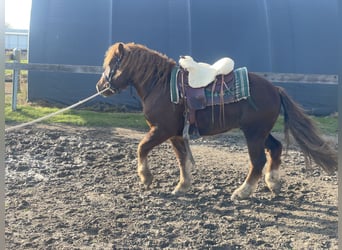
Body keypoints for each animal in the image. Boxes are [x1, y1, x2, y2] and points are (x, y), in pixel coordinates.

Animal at [96, 42, 336, 200]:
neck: (160, 85)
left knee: (257, 161)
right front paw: (183, 186)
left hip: (253, 133)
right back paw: (273, 183)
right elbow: (182, 159)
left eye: (112, 63)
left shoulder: (161, 130)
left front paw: (146, 178)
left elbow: (142, 147)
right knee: (275, 149)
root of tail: (275, 89)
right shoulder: (175, 134)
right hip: (260, 132)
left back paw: (243, 192)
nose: (100, 86)